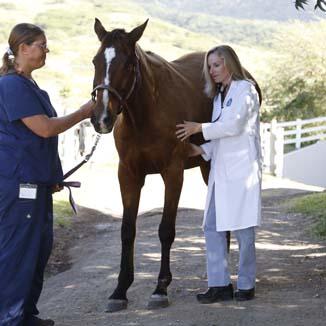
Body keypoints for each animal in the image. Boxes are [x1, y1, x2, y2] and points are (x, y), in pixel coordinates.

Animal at [89, 18, 229, 314]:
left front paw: (160, 288)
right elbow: (127, 231)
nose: (101, 118)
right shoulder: (128, 175)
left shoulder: (173, 174)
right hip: (205, 168)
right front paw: (119, 290)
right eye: (95, 61)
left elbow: (165, 230)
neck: (145, 115)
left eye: (128, 64)